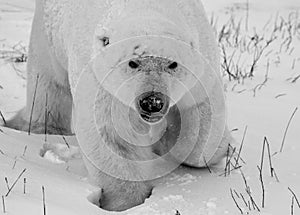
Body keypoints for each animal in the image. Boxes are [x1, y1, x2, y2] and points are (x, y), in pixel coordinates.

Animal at [5, 0, 234, 212]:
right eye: (133, 63)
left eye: (173, 64)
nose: (152, 102)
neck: (148, 8)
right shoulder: (103, 81)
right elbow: (114, 139)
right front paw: (125, 202)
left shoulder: (201, 67)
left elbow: (200, 133)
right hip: (49, 37)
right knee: (48, 85)